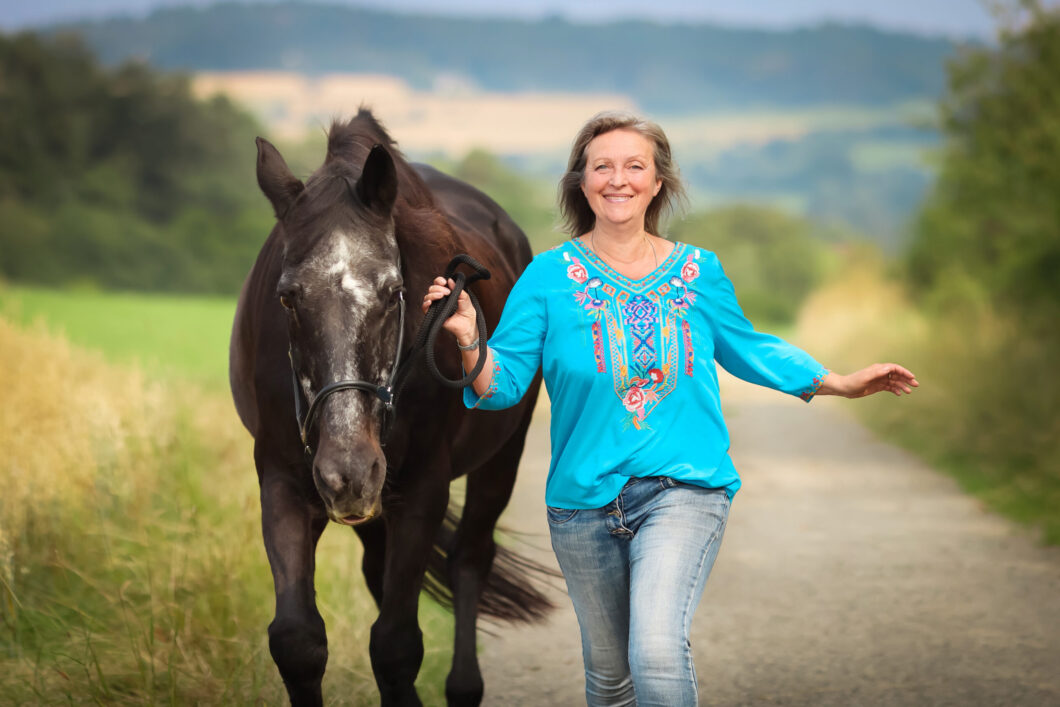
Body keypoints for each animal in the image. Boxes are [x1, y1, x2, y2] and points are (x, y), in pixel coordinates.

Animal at [230, 110, 546, 707]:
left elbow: (397, 644)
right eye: (287, 296)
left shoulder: (422, 488)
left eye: (394, 291)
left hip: (500, 459)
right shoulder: (283, 481)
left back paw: (463, 686)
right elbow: (297, 641)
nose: (348, 471)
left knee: (471, 558)